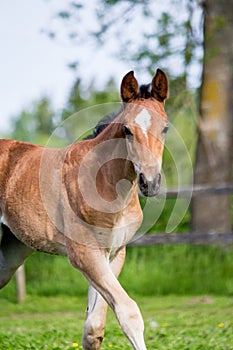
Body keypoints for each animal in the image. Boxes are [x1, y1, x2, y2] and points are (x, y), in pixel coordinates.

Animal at [0, 69, 168, 350]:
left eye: (165, 127)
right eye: (127, 129)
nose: (150, 182)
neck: (105, 182)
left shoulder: (113, 254)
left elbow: (93, 329)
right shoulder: (84, 254)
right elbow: (129, 312)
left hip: (12, 249)